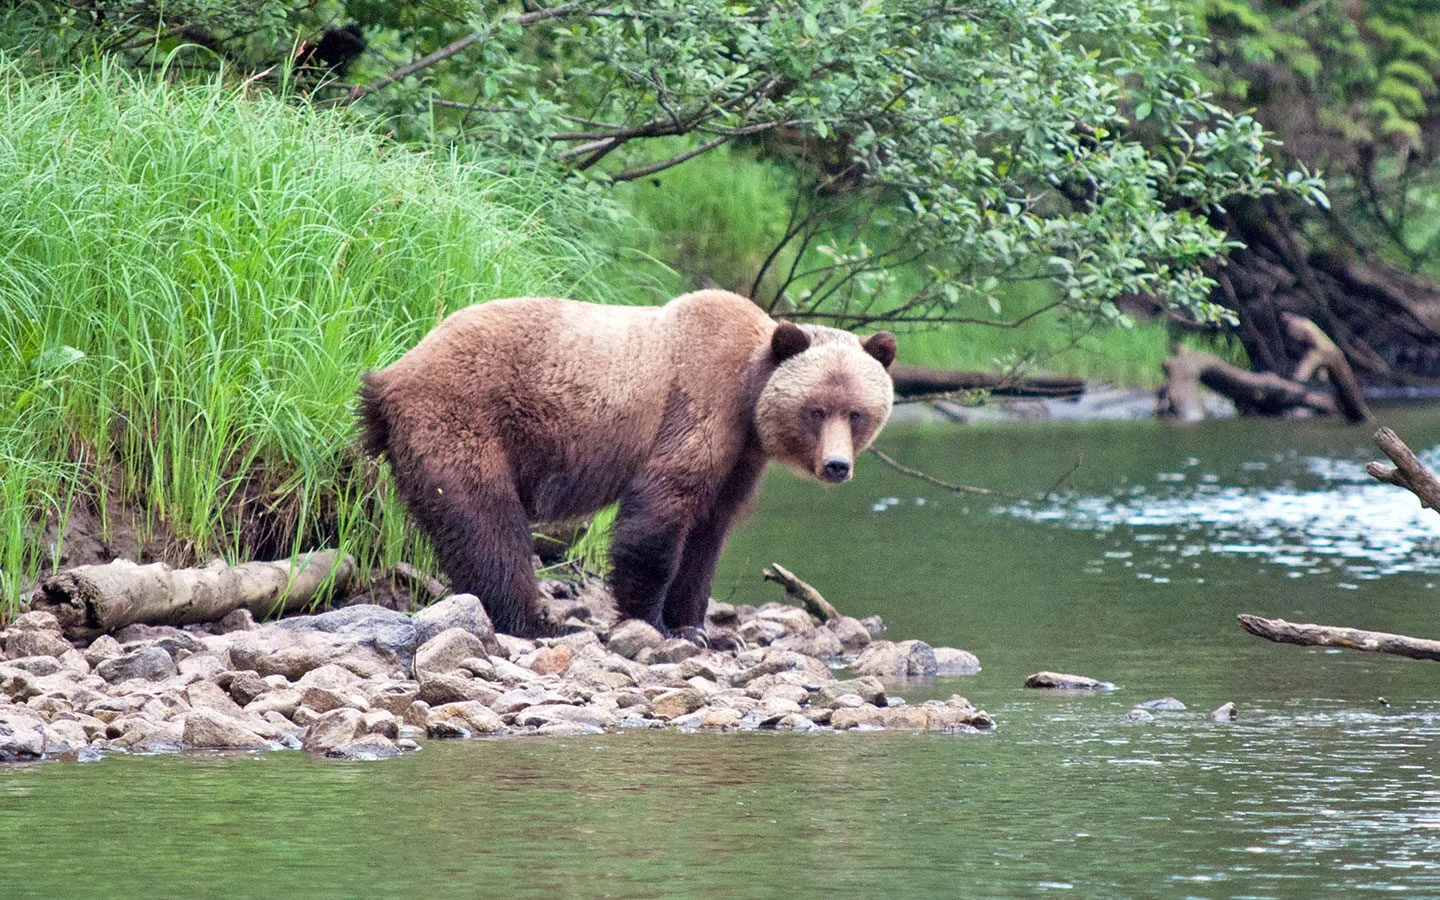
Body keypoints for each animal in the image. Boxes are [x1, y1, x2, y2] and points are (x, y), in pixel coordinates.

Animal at [360, 290, 892, 636]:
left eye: (857, 412)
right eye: (816, 410)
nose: (837, 466)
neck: (748, 393)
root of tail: (390, 377)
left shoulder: (740, 458)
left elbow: (708, 532)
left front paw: (698, 626)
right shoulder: (698, 403)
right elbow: (662, 509)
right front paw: (653, 621)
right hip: (463, 419)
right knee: (488, 524)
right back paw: (536, 623)